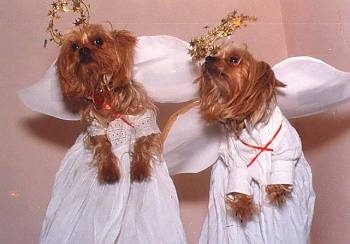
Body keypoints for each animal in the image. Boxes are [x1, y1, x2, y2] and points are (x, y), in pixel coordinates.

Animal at [56, 24, 161, 183]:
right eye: (74, 46)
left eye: (98, 41)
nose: (83, 50)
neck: (104, 90)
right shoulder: (95, 126)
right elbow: (103, 146)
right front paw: (109, 171)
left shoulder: (145, 119)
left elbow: (142, 142)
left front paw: (139, 169)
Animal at [194, 45, 292, 221]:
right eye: (215, 54)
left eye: (233, 59)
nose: (208, 58)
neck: (246, 120)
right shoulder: (237, 162)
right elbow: (239, 180)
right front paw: (242, 206)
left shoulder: (285, 147)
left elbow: (282, 164)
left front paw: (277, 191)